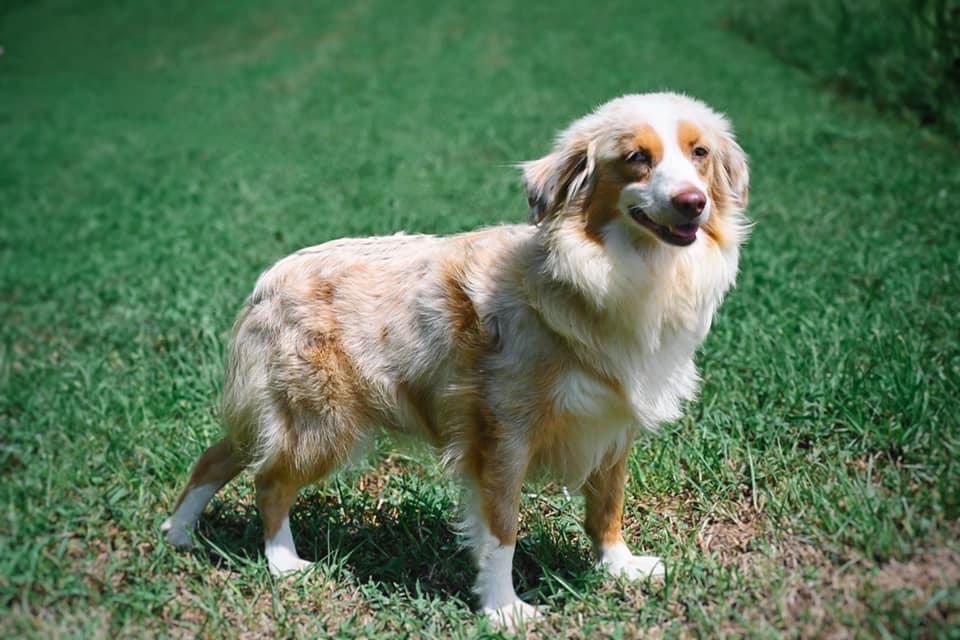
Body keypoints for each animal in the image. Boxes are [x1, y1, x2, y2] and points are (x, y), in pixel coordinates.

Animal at [162, 92, 749, 629]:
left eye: (698, 152)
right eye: (636, 158)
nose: (692, 202)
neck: (606, 270)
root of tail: (270, 278)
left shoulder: (611, 421)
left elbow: (607, 503)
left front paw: (618, 567)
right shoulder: (502, 434)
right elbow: (502, 529)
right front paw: (503, 608)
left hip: (282, 414)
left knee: (218, 457)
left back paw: (179, 533)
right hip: (322, 421)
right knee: (268, 482)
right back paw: (283, 562)